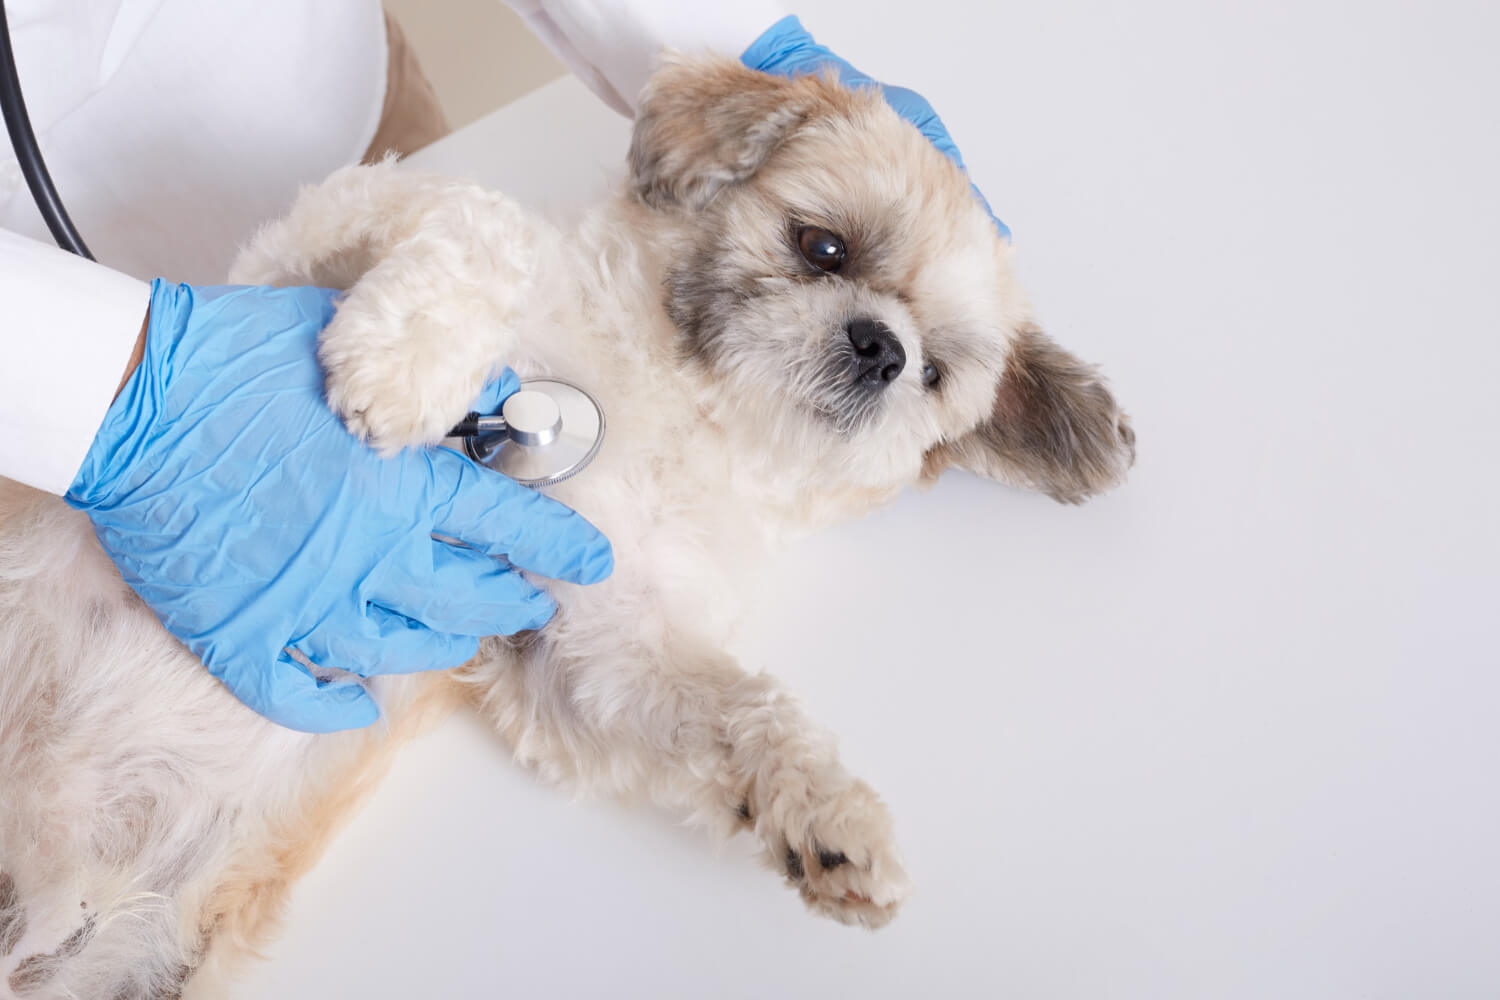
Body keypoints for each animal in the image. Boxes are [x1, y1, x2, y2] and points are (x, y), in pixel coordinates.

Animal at [0, 56, 1128, 1000]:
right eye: (822, 246)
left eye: (935, 372)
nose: (881, 348)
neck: (673, 401)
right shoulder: (301, 246)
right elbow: (479, 216)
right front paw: (402, 366)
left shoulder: (592, 642)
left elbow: (738, 707)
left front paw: (822, 813)